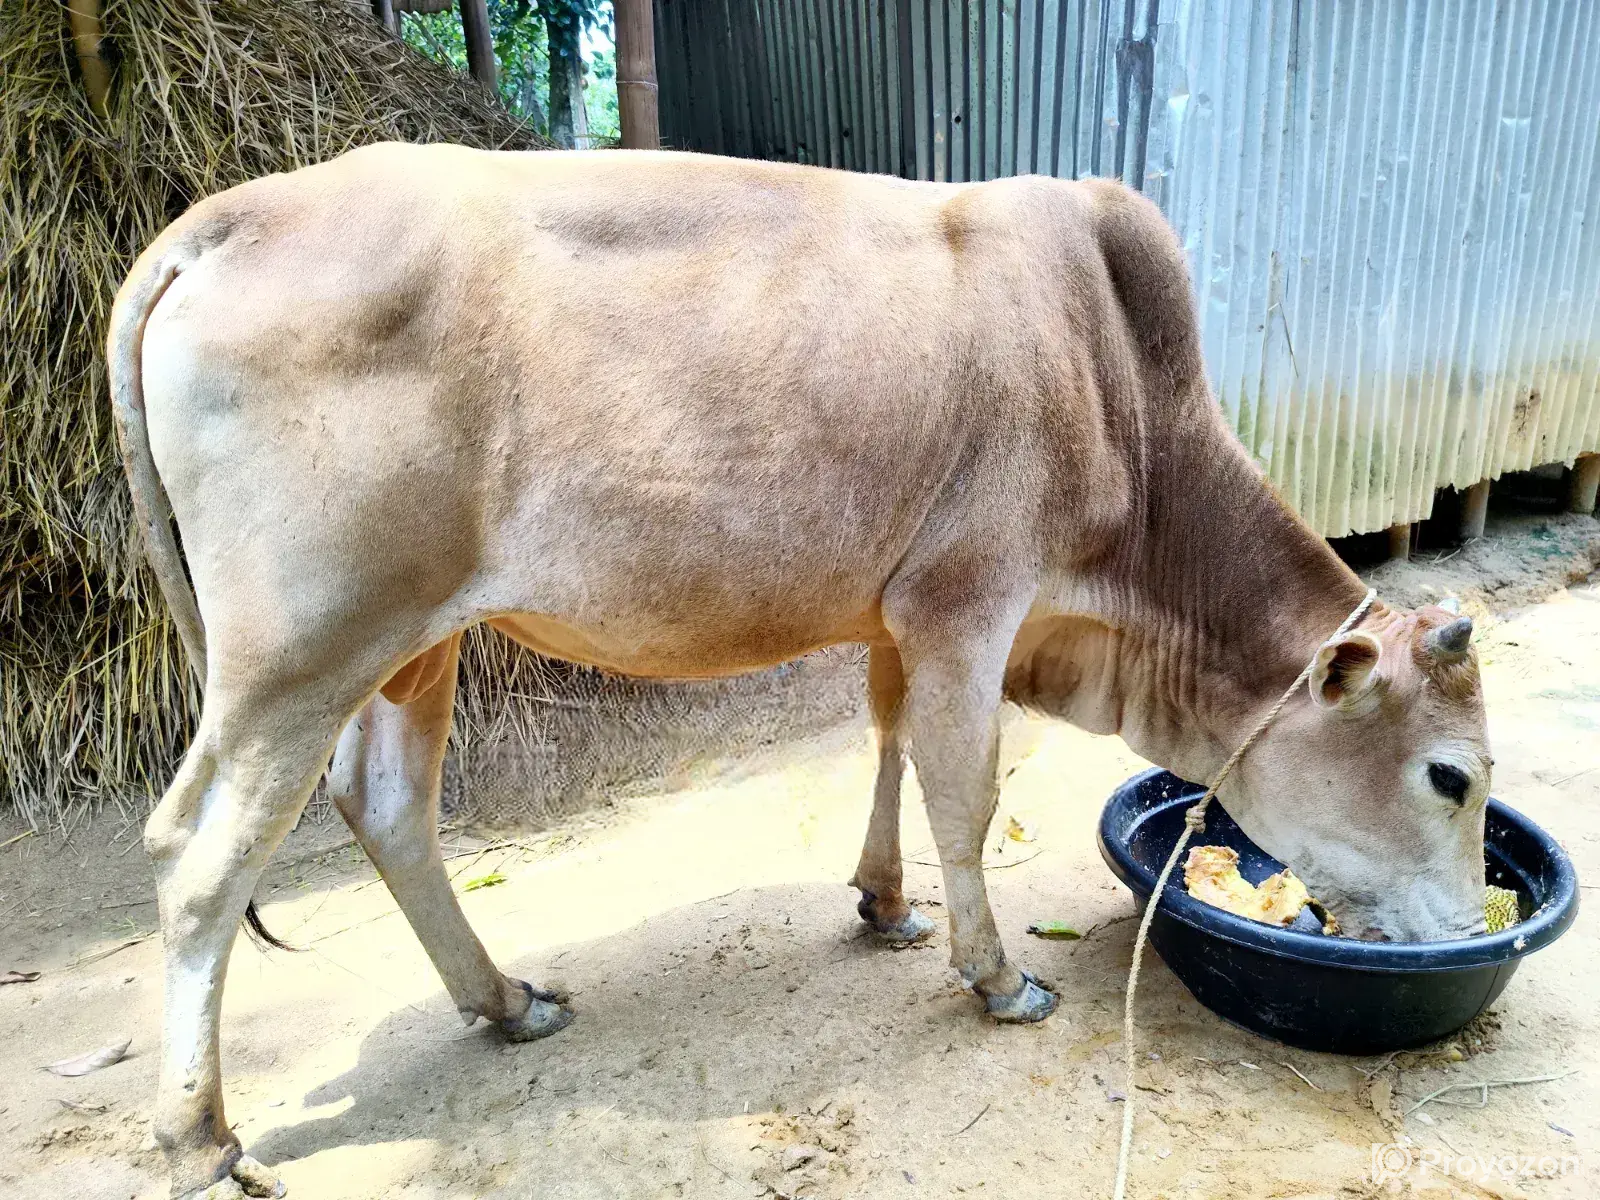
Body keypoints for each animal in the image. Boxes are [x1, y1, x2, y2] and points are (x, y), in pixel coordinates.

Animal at [108, 145, 1491, 1199]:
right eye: (1450, 778)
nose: (1469, 928)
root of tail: (229, 216)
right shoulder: (967, 602)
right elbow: (963, 792)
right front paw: (997, 979)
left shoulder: (894, 615)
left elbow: (884, 746)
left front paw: (884, 903)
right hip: (299, 655)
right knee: (195, 859)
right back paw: (197, 1137)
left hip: (412, 643)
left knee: (387, 807)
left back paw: (502, 1002)